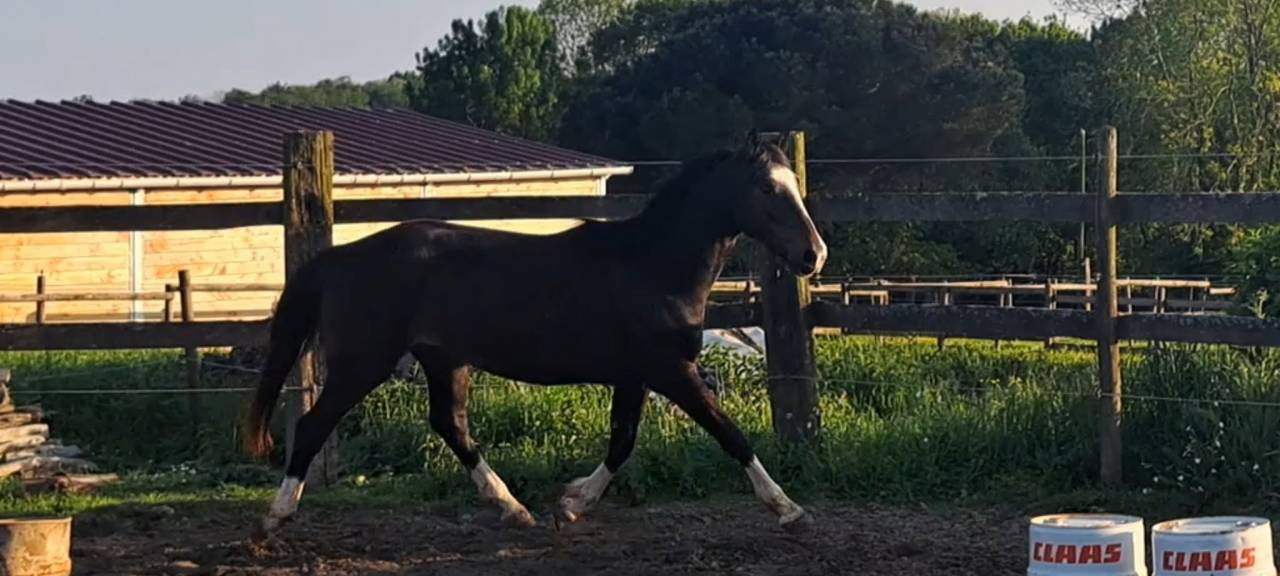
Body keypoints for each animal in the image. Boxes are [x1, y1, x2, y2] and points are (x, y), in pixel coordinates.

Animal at [241, 136, 828, 535]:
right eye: (767, 188)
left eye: (794, 188)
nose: (813, 256)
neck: (651, 265)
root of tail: (339, 258)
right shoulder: (671, 372)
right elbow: (730, 434)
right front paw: (789, 509)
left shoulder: (635, 376)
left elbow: (622, 441)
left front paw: (570, 503)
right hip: (364, 362)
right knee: (314, 424)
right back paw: (274, 517)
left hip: (444, 360)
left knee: (450, 426)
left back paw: (512, 507)